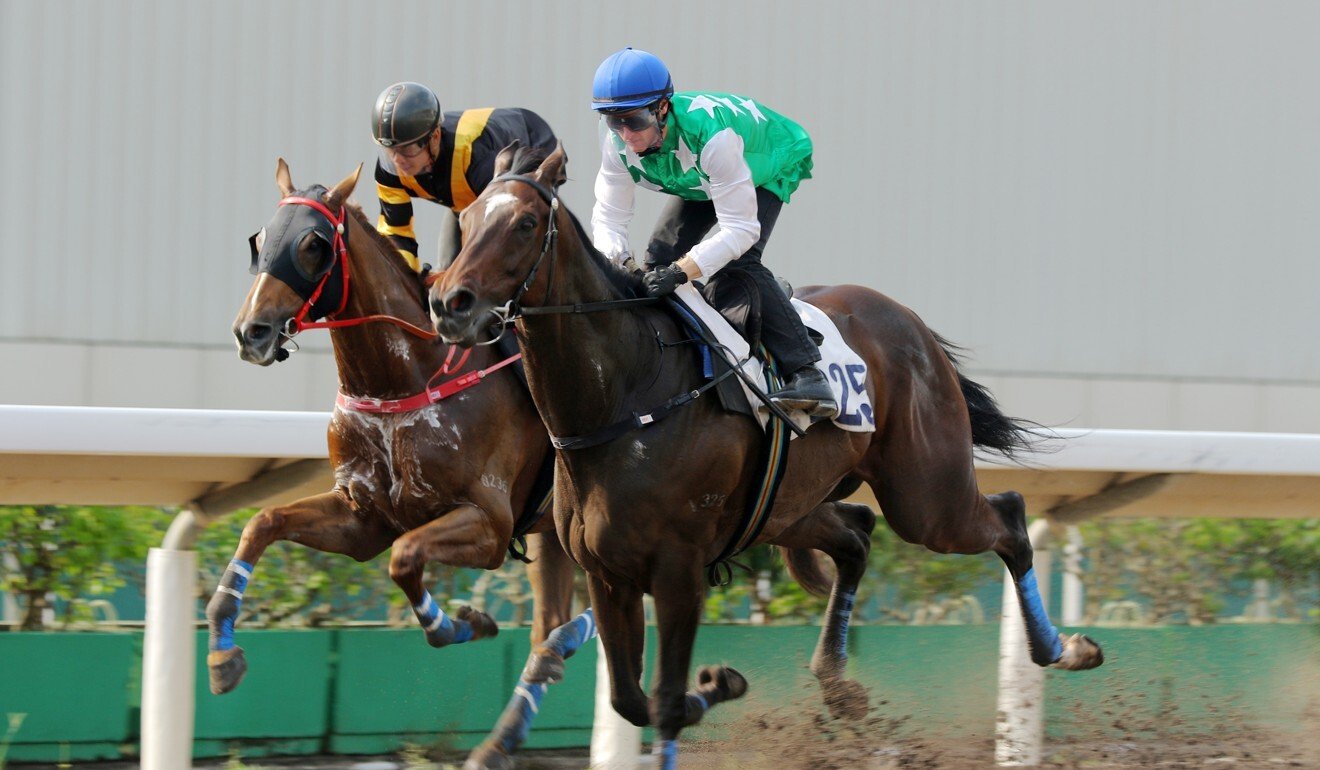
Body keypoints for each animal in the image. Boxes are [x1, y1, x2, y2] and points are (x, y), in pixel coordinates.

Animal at [215, 159, 594, 766]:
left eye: (312, 245)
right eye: (260, 239)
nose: (251, 331)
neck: (405, 378)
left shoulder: (490, 524)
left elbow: (405, 557)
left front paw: (464, 623)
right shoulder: (362, 517)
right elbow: (262, 523)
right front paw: (222, 655)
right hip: (555, 534)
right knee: (551, 628)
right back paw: (508, 726)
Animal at [427, 145, 1098, 770]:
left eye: (523, 224)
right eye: (468, 215)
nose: (450, 304)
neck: (625, 395)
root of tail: (910, 323)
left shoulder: (678, 568)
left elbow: (663, 703)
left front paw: (706, 687)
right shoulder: (606, 571)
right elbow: (629, 700)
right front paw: (720, 682)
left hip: (927, 499)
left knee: (1009, 518)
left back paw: (1065, 649)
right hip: (790, 508)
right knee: (857, 536)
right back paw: (840, 685)